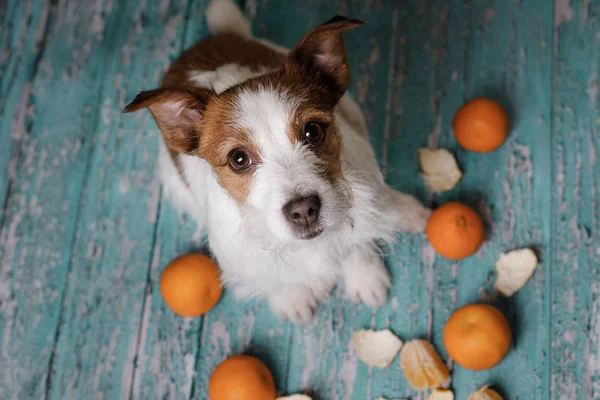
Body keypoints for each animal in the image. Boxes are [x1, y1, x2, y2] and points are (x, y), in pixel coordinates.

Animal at [124, 0, 428, 324]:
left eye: (312, 131)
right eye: (238, 159)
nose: (303, 210)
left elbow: (355, 239)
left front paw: (364, 273)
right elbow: (272, 276)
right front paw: (290, 296)